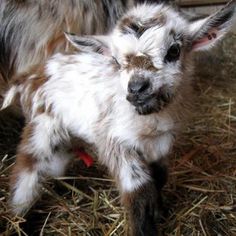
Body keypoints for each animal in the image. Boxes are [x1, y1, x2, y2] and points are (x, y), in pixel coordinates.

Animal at [1, 1, 234, 236]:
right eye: (115, 60)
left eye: (174, 51)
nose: (137, 88)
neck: (149, 121)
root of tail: (29, 76)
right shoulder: (115, 141)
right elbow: (139, 193)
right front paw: (144, 228)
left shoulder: (161, 144)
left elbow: (159, 178)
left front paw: (160, 211)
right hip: (42, 126)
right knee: (27, 171)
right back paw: (18, 218)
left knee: (57, 162)